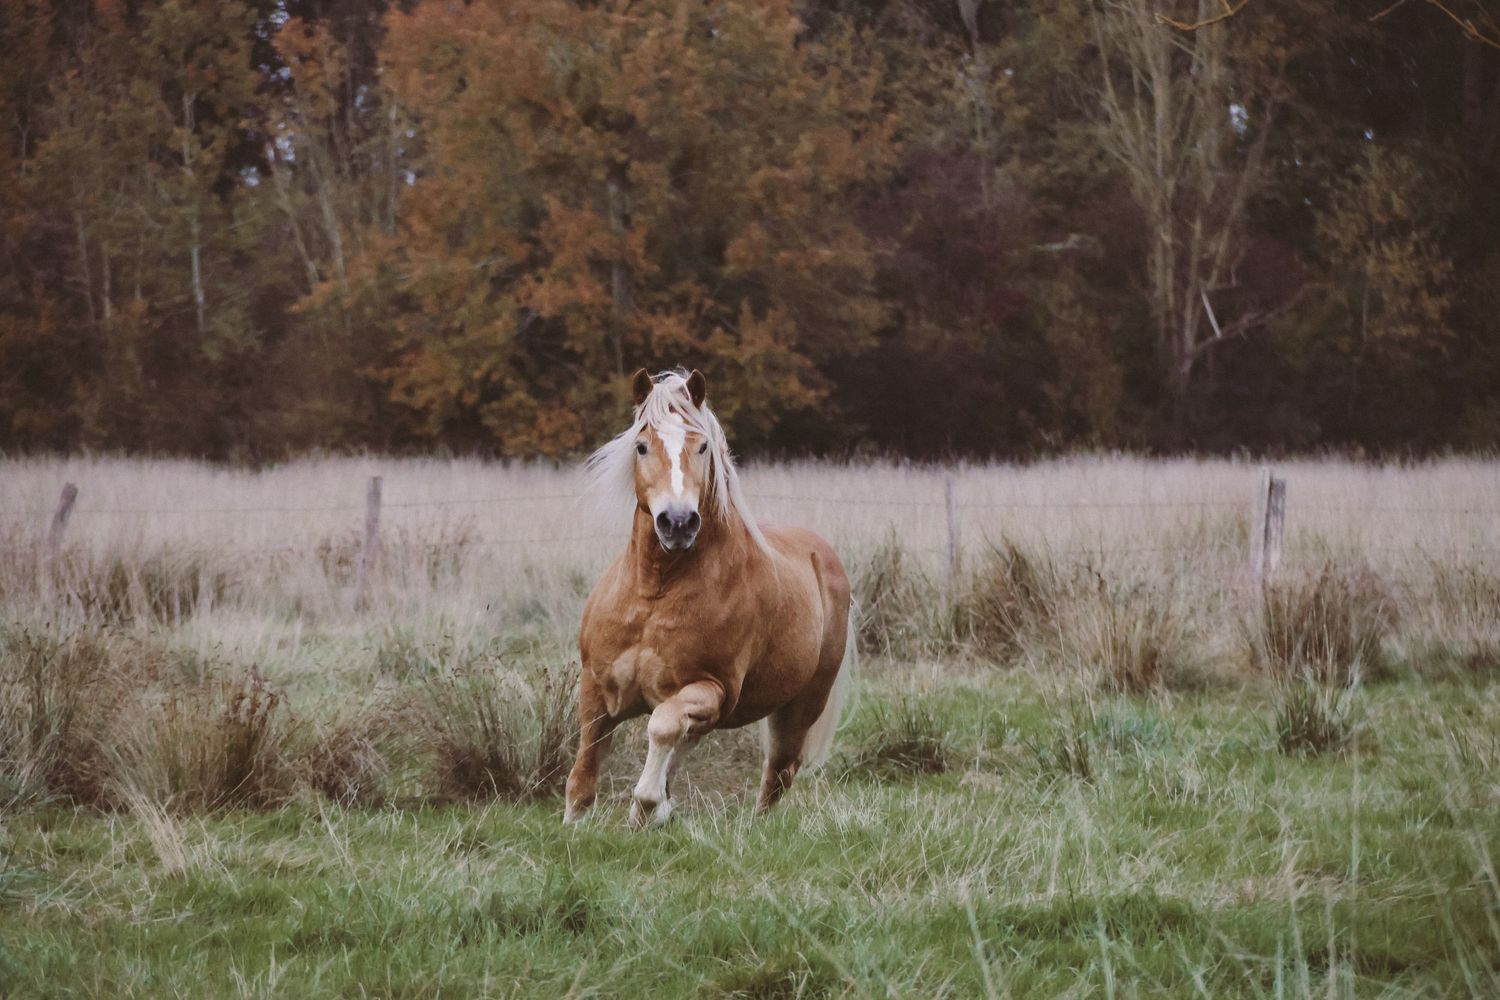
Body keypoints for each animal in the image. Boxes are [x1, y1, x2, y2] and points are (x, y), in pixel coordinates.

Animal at [564, 368, 854, 827]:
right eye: (642, 445)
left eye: (701, 446)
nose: (678, 522)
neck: (654, 594)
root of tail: (821, 555)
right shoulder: (596, 687)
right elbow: (583, 774)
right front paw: (578, 826)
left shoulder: (712, 689)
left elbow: (661, 725)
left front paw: (644, 806)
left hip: (800, 707)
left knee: (778, 773)